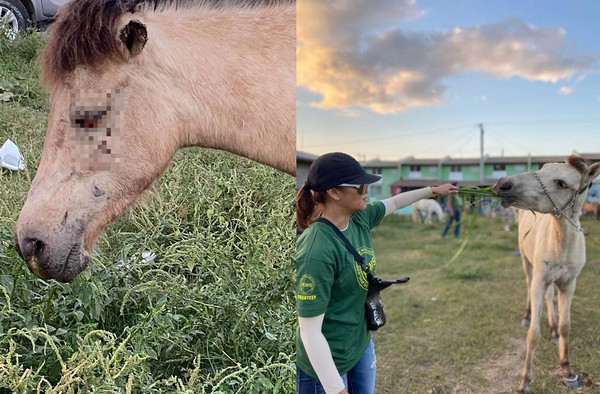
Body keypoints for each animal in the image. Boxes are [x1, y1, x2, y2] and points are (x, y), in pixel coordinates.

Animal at [492, 155, 600, 392]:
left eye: (561, 182)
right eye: (542, 168)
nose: (503, 184)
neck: (561, 245)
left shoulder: (569, 284)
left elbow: (566, 326)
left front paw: (567, 369)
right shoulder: (539, 281)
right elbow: (533, 335)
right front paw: (524, 382)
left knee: (550, 298)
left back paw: (553, 329)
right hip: (527, 263)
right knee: (528, 285)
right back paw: (527, 316)